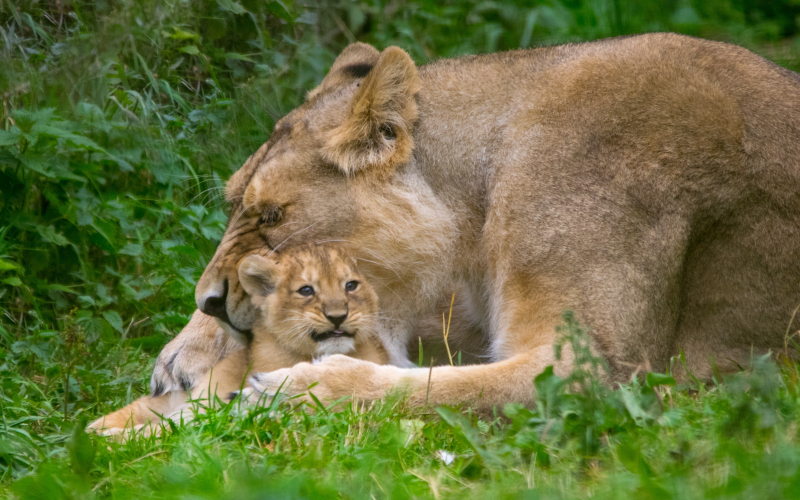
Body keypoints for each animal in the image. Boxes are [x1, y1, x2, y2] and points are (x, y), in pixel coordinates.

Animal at [146, 33, 800, 413]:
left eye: (273, 215)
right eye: (235, 204)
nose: (208, 301)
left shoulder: (601, 369)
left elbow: (448, 387)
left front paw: (305, 388)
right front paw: (187, 348)